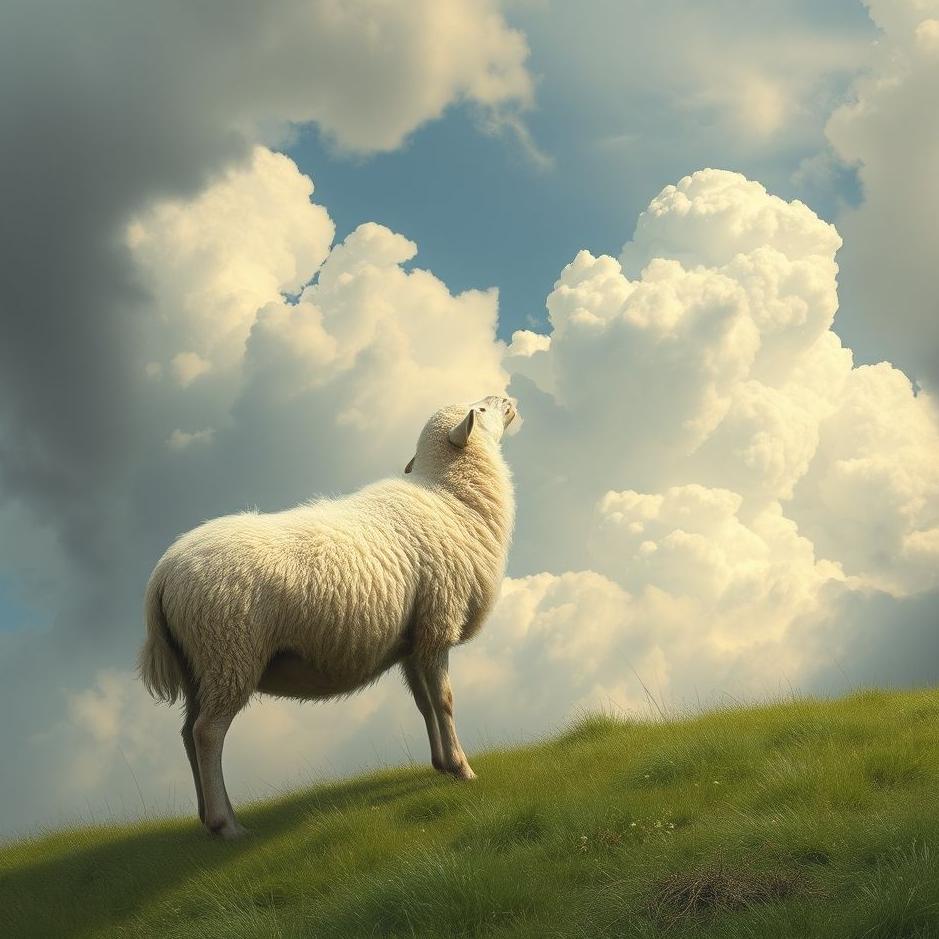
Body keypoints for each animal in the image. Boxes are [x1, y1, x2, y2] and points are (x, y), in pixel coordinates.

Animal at [139, 395, 517, 838]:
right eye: (481, 410)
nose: (506, 399)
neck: (450, 498)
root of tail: (162, 574)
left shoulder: (415, 639)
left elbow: (425, 704)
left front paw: (440, 765)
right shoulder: (439, 622)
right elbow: (445, 701)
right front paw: (462, 769)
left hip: (199, 665)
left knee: (187, 733)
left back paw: (209, 817)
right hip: (228, 652)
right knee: (207, 733)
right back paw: (226, 824)